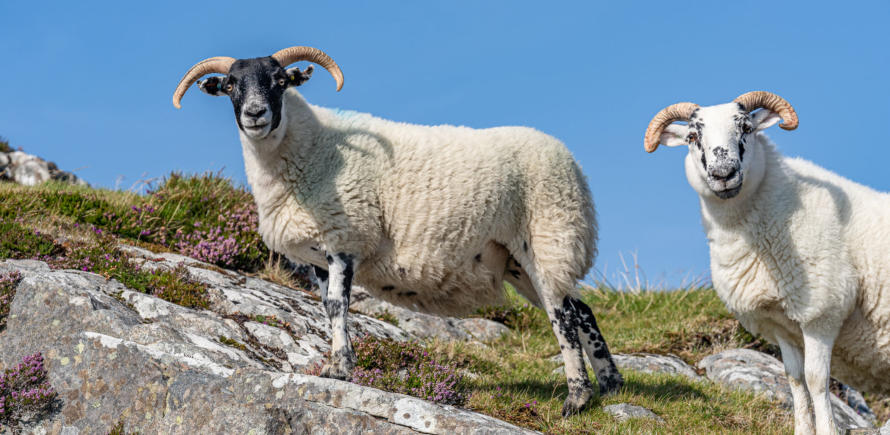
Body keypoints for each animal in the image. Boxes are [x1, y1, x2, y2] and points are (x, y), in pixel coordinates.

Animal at [172, 46, 623, 415]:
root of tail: (570, 163)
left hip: (549, 234)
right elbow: (326, 308)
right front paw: (335, 363)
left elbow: (338, 305)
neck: (310, 146)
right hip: (519, 260)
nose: (255, 115)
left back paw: (576, 398)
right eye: (231, 85)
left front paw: (341, 369)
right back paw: (611, 385)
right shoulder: (317, 256)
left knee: (563, 316)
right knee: (580, 309)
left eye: (280, 81)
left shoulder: (345, 238)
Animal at [645, 91, 890, 434]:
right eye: (693, 137)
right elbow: (795, 379)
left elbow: (817, 380)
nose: (723, 174)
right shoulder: (780, 325)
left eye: (746, 128)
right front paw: (803, 429)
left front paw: (827, 429)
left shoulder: (822, 313)